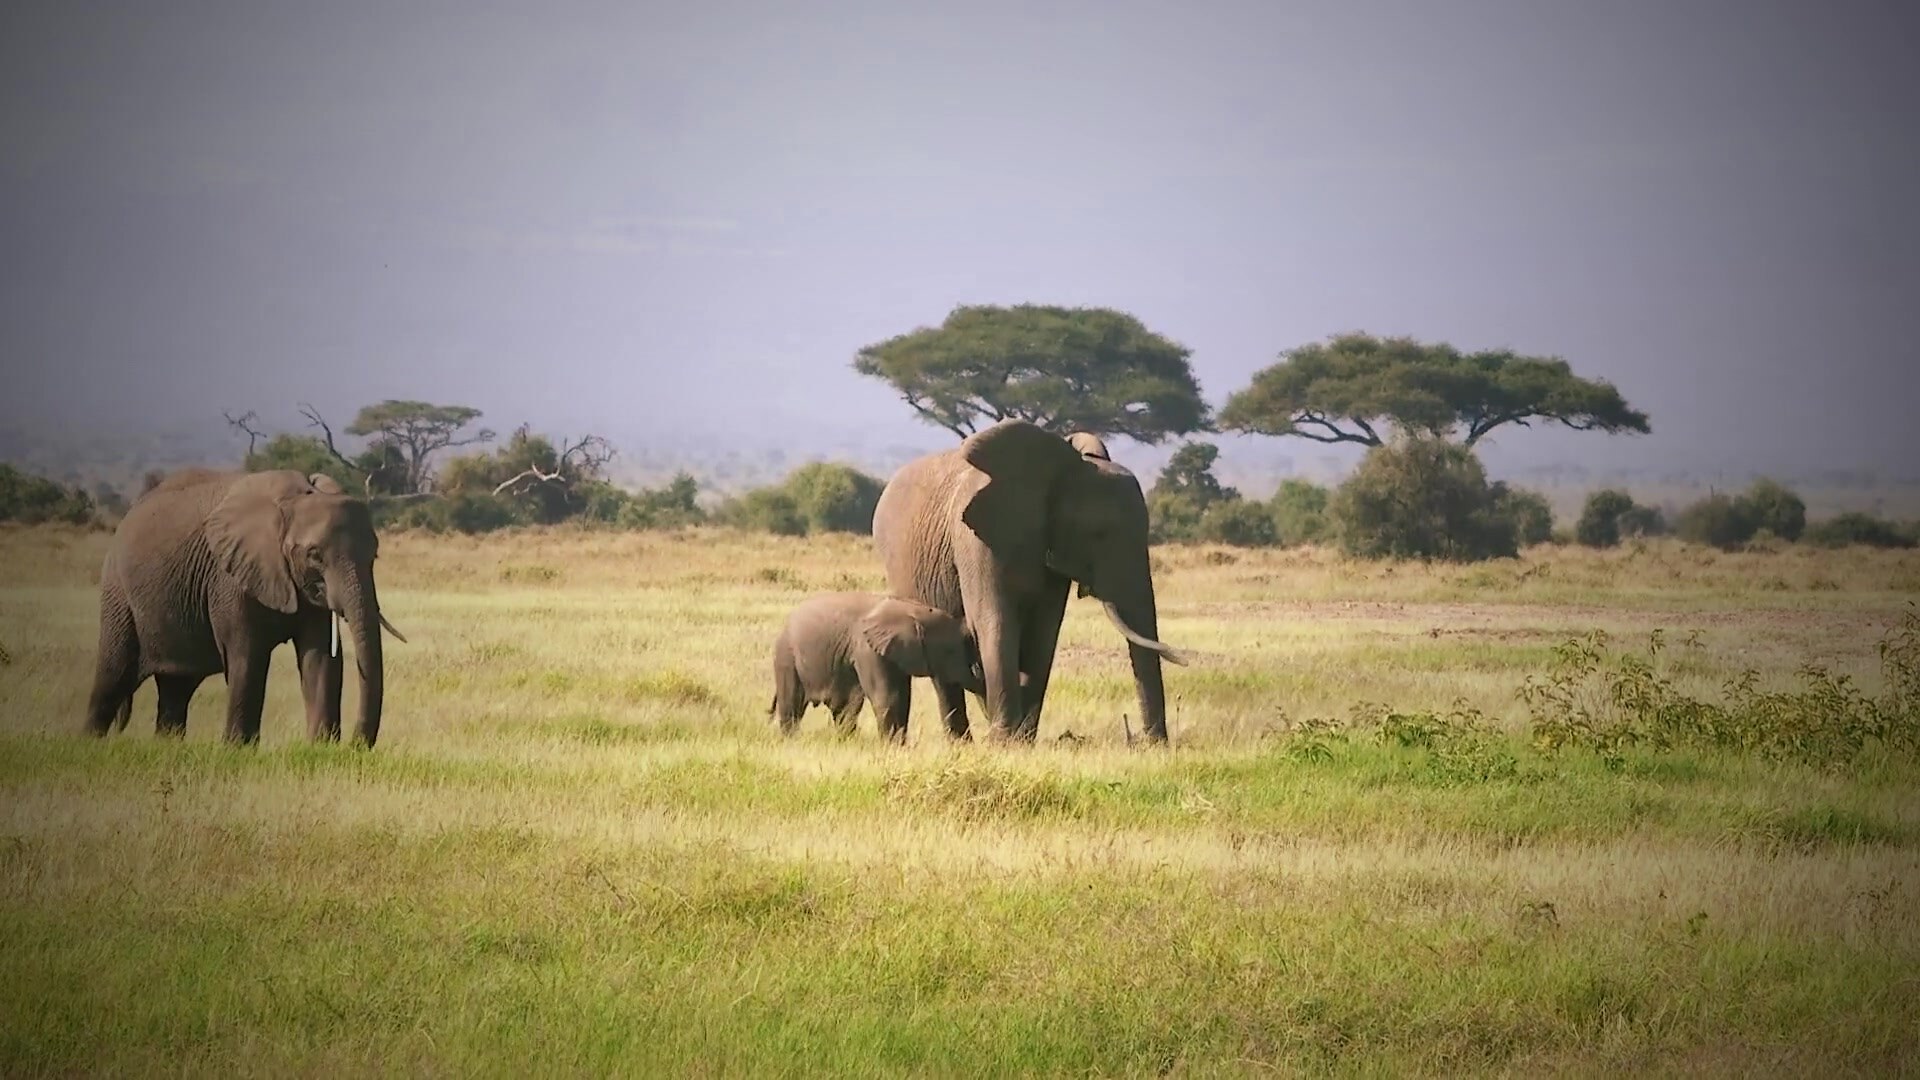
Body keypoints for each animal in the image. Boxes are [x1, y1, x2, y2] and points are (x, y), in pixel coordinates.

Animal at [84, 467, 405, 747]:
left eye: (374, 554)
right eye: (314, 555)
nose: (356, 746)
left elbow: (319, 657)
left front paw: (320, 748)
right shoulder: (229, 577)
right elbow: (247, 655)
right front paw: (238, 749)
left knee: (176, 688)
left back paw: (167, 746)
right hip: (118, 593)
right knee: (114, 674)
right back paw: (89, 744)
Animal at [769, 591, 985, 742]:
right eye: (951, 651)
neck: (913, 610)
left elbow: (903, 698)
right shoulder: (868, 650)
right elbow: (888, 697)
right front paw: (892, 747)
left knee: (843, 709)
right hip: (786, 657)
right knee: (792, 705)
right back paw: (791, 741)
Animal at [871, 419, 1187, 744]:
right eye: (1098, 533)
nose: (1148, 742)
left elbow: (1043, 632)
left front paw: (1022, 741)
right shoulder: (975, 538)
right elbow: (993, 619)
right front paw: (1004, 742)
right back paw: (963, 741)